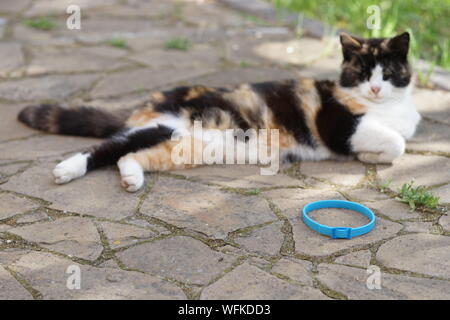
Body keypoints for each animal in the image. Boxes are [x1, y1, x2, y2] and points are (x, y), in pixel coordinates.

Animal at [16, 32, 418, 192]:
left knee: (126, 154)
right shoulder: (338, 125)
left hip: (181, 143)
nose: (376, 87)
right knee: (106, 148)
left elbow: (400, 142)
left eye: (387, 71)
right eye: (362, 72)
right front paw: (370, 153)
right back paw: (66, 170)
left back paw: (131, 178)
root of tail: (150, 102)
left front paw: (372, 154)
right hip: (169, 126)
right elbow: (395, 143)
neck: (387, 106)